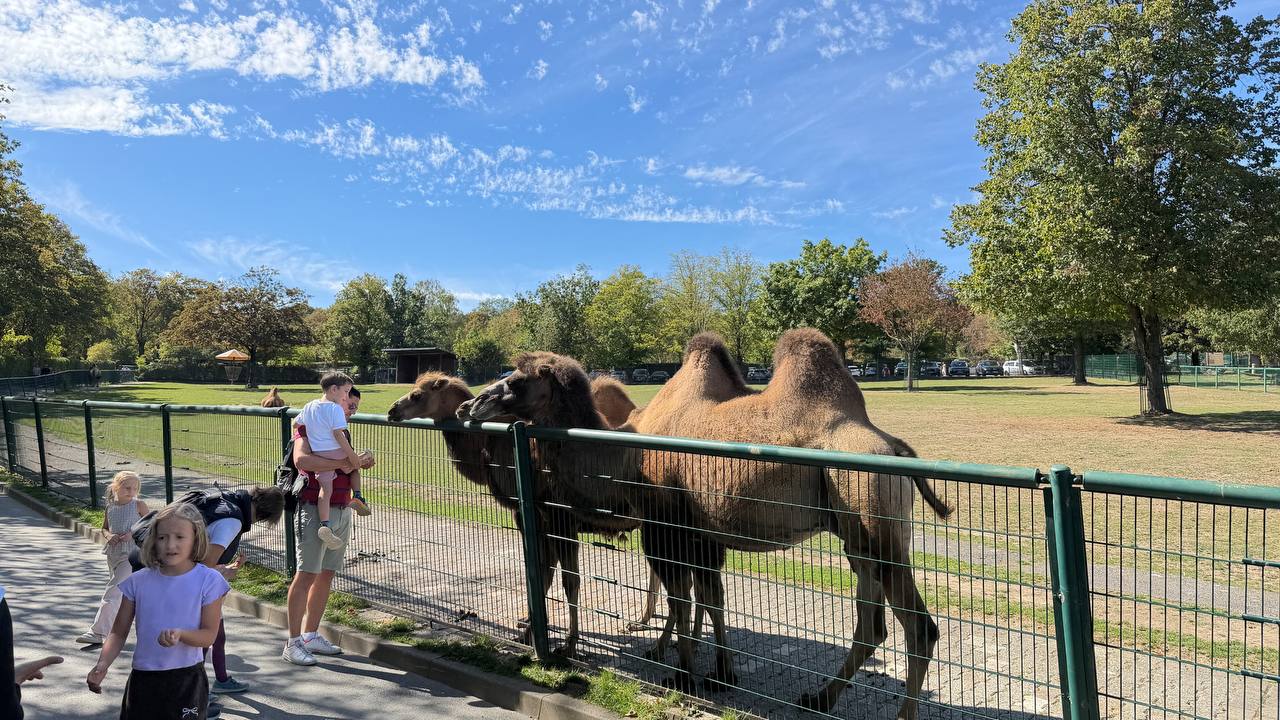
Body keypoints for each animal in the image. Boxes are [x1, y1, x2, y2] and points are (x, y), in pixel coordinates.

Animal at [464, 330, 950, 720]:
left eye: (517, 380)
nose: (473, 402)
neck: (624, 454)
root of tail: (893, 447)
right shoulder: (700, 529)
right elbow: (709, 597)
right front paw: (717, 673)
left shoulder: (663, 523)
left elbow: (682, 599)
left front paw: (682, 676)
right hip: (857, 536)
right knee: (873, 626)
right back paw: (819, 697)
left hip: (873, 513)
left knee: (920, 628)